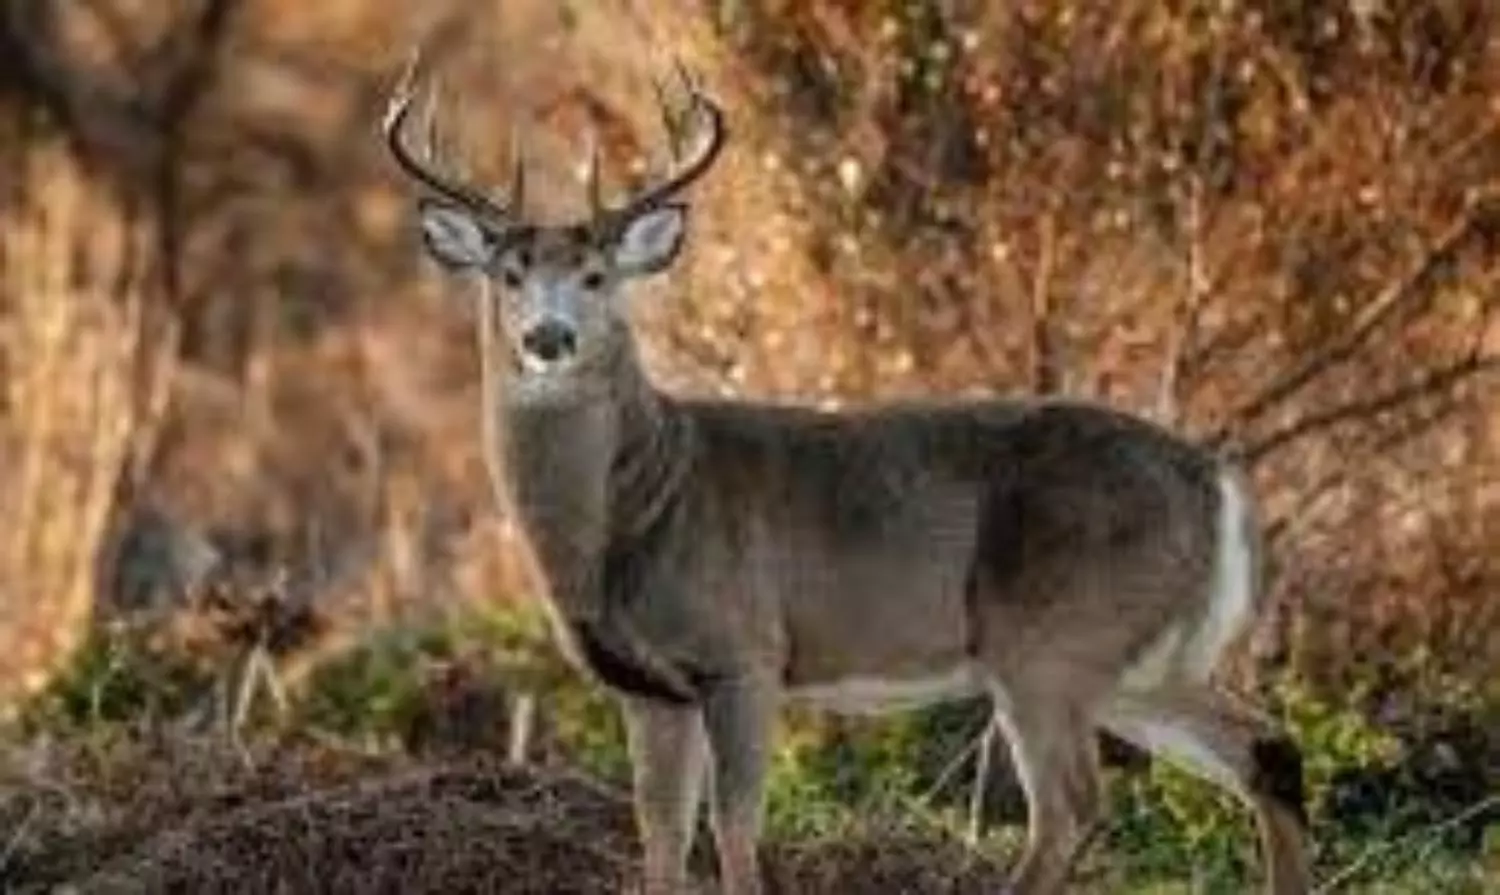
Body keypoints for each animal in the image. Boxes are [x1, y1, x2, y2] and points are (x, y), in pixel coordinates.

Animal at [381, 51, 1313, 895]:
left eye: (596, 274)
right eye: (508, 274)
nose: (549, 337)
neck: (636, 508)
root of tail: (1216, 479)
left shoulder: (743, 650)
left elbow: (735, 830)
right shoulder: (647, 687)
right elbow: (660, 842)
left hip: (1054, 635)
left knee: (1074, 808)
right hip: (1143, 657)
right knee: (1267, 749)